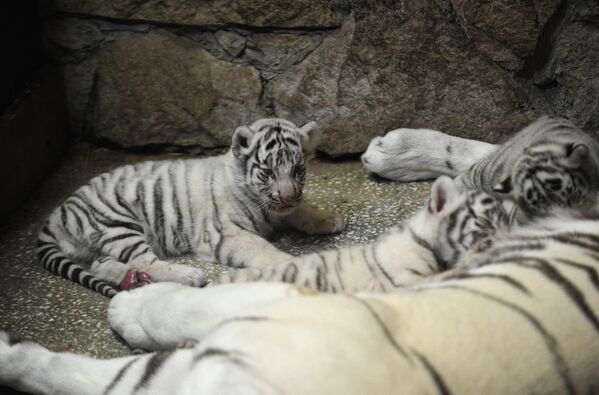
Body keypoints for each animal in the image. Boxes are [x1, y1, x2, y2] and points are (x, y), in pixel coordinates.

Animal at [38, 117, 346, 296]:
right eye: (268, 172)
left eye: (297, 170)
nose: (288, 196)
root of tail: (57, 213)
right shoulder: (226, 234)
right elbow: (263, 249)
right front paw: (290, 262)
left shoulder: (279, 209)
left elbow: (301, 211)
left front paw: (328, 218)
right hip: (117, 222)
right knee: (141, 258)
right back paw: (189, 276)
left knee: (102, 264)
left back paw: (133, 281)